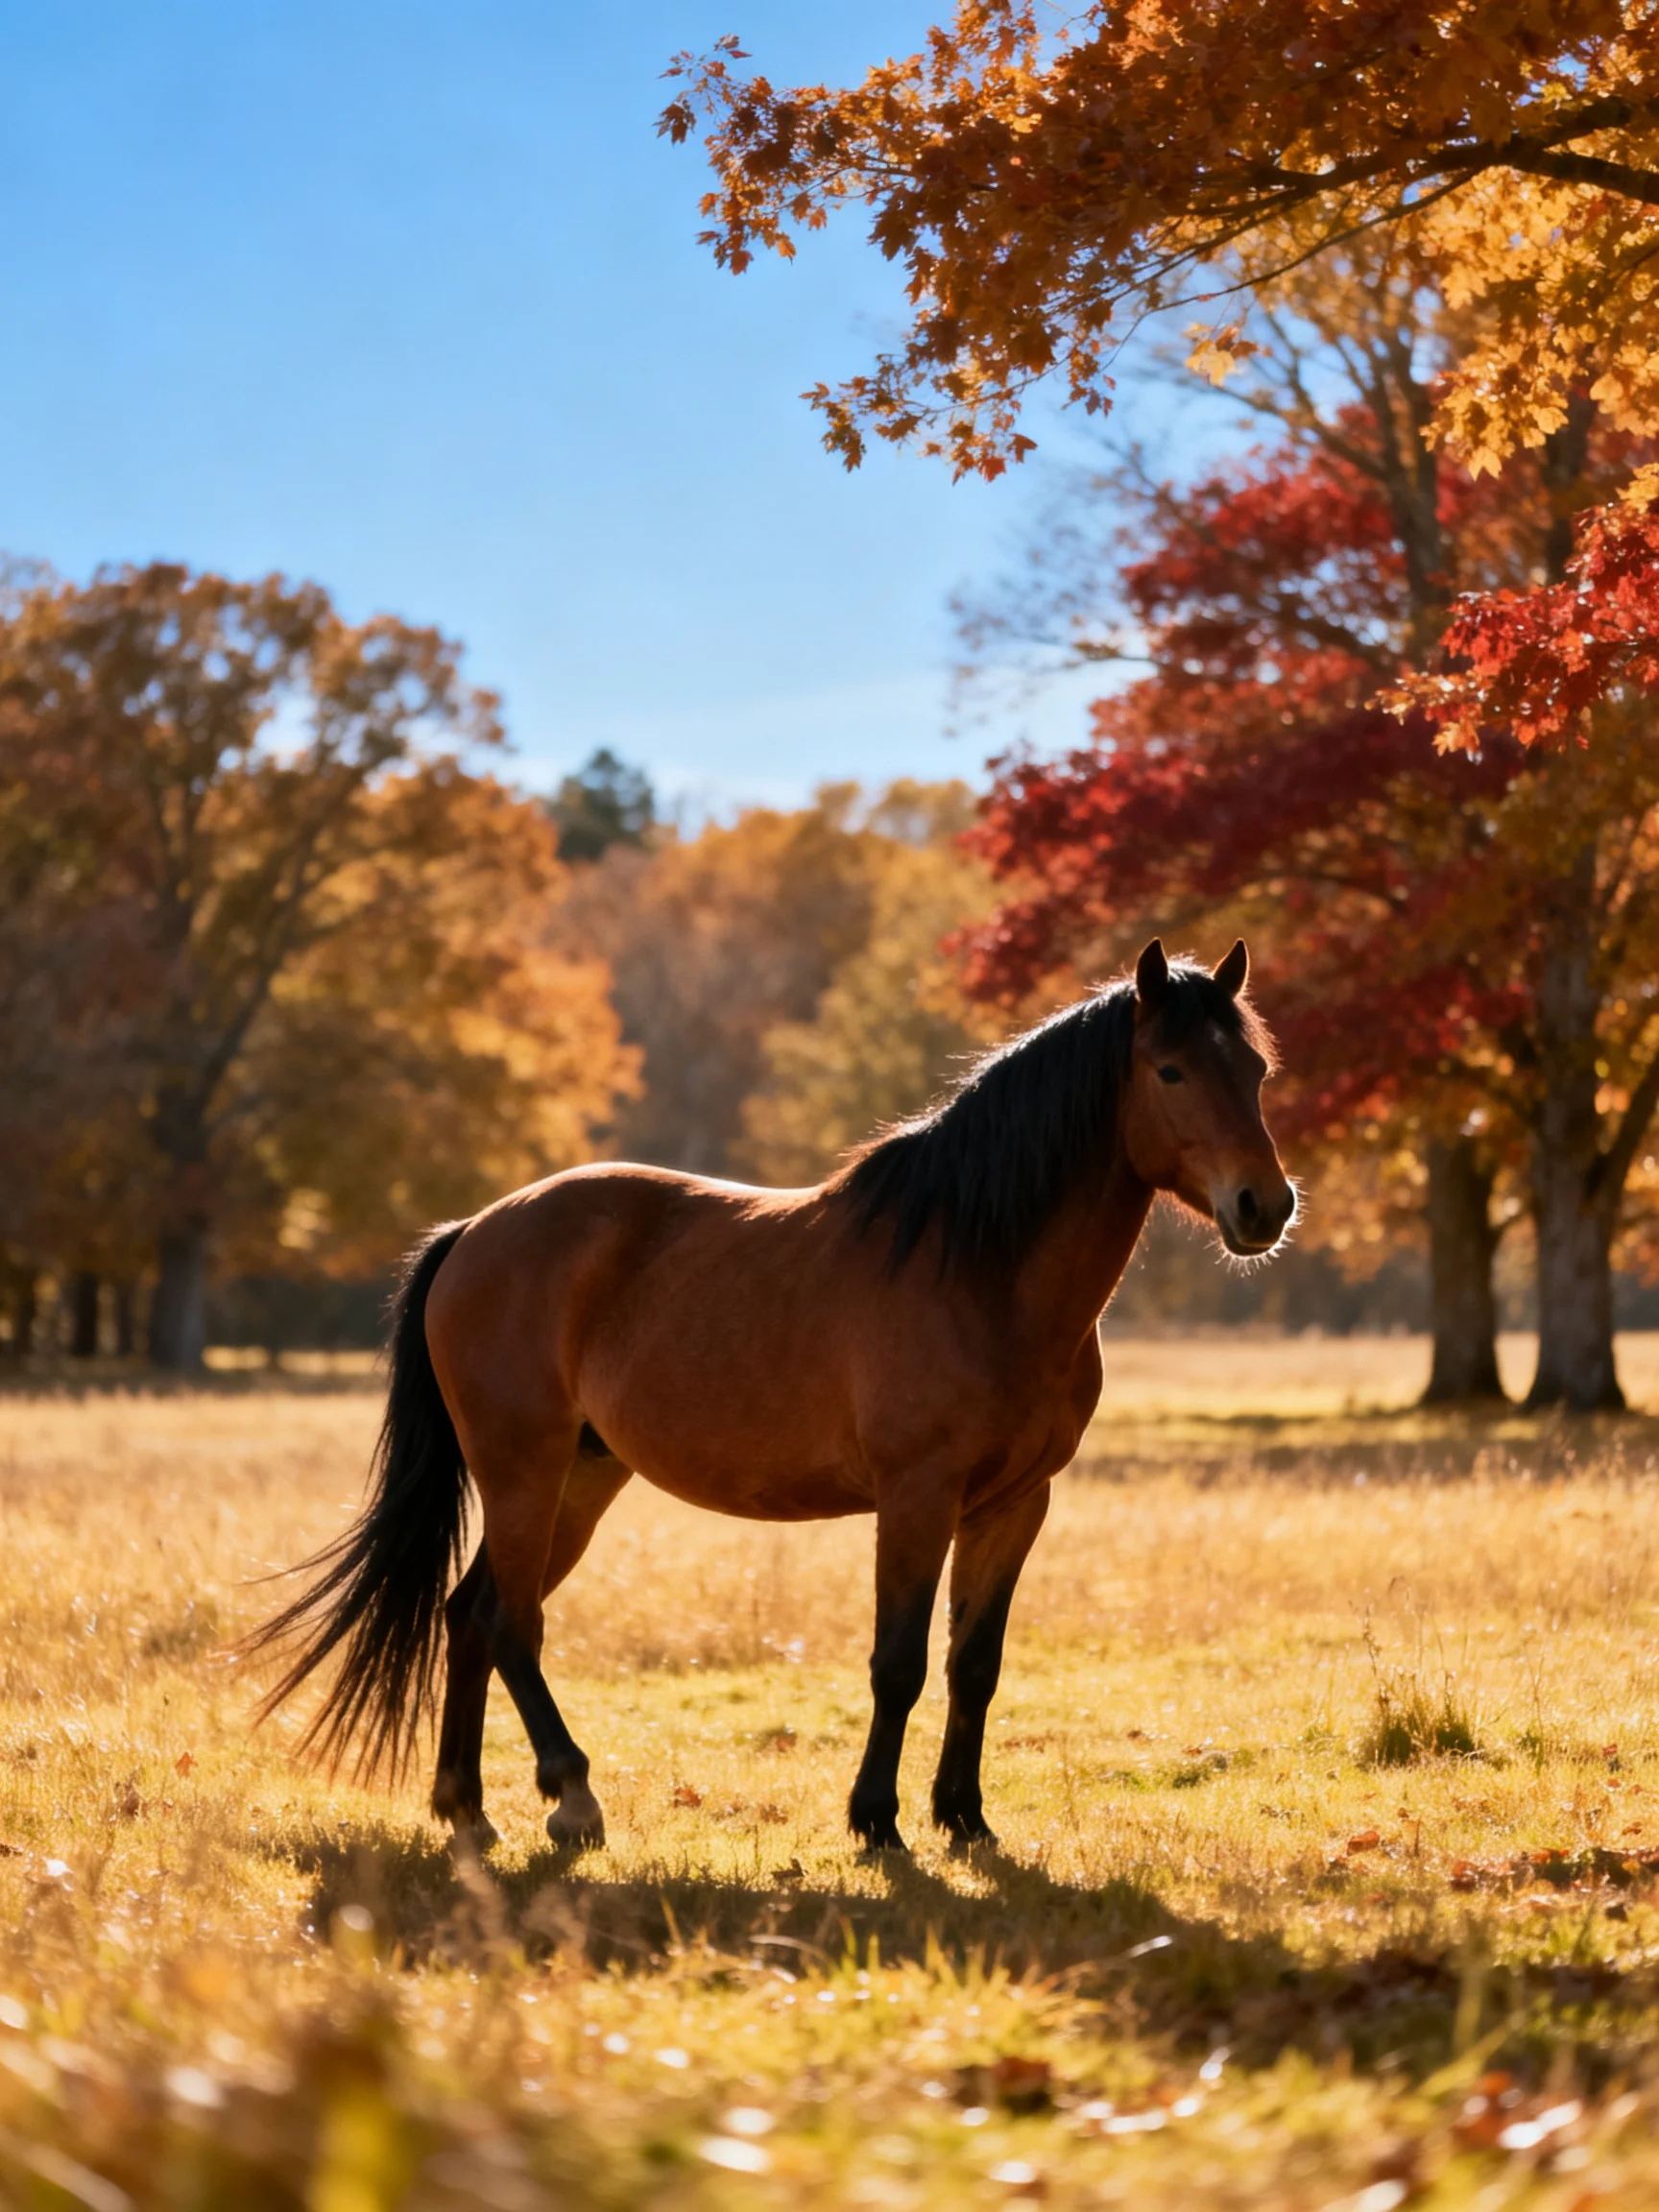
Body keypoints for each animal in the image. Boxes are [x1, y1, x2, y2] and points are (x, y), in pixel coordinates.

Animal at [251, 937, 1295, 1855]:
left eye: (1254, 1068)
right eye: (1169, 1070)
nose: (1266, 1206)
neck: (978, 1270)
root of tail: (474, 1232)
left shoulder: (1013, 1504)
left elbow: (974, 1666)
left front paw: (965, 1818)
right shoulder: (916, 1499)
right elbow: (898, 1664)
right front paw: (876, 1821)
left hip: (582, 1479)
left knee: (470, 1617)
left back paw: (469, 1812)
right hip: (522, 1472)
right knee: (511, 1625)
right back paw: (572, 1798)